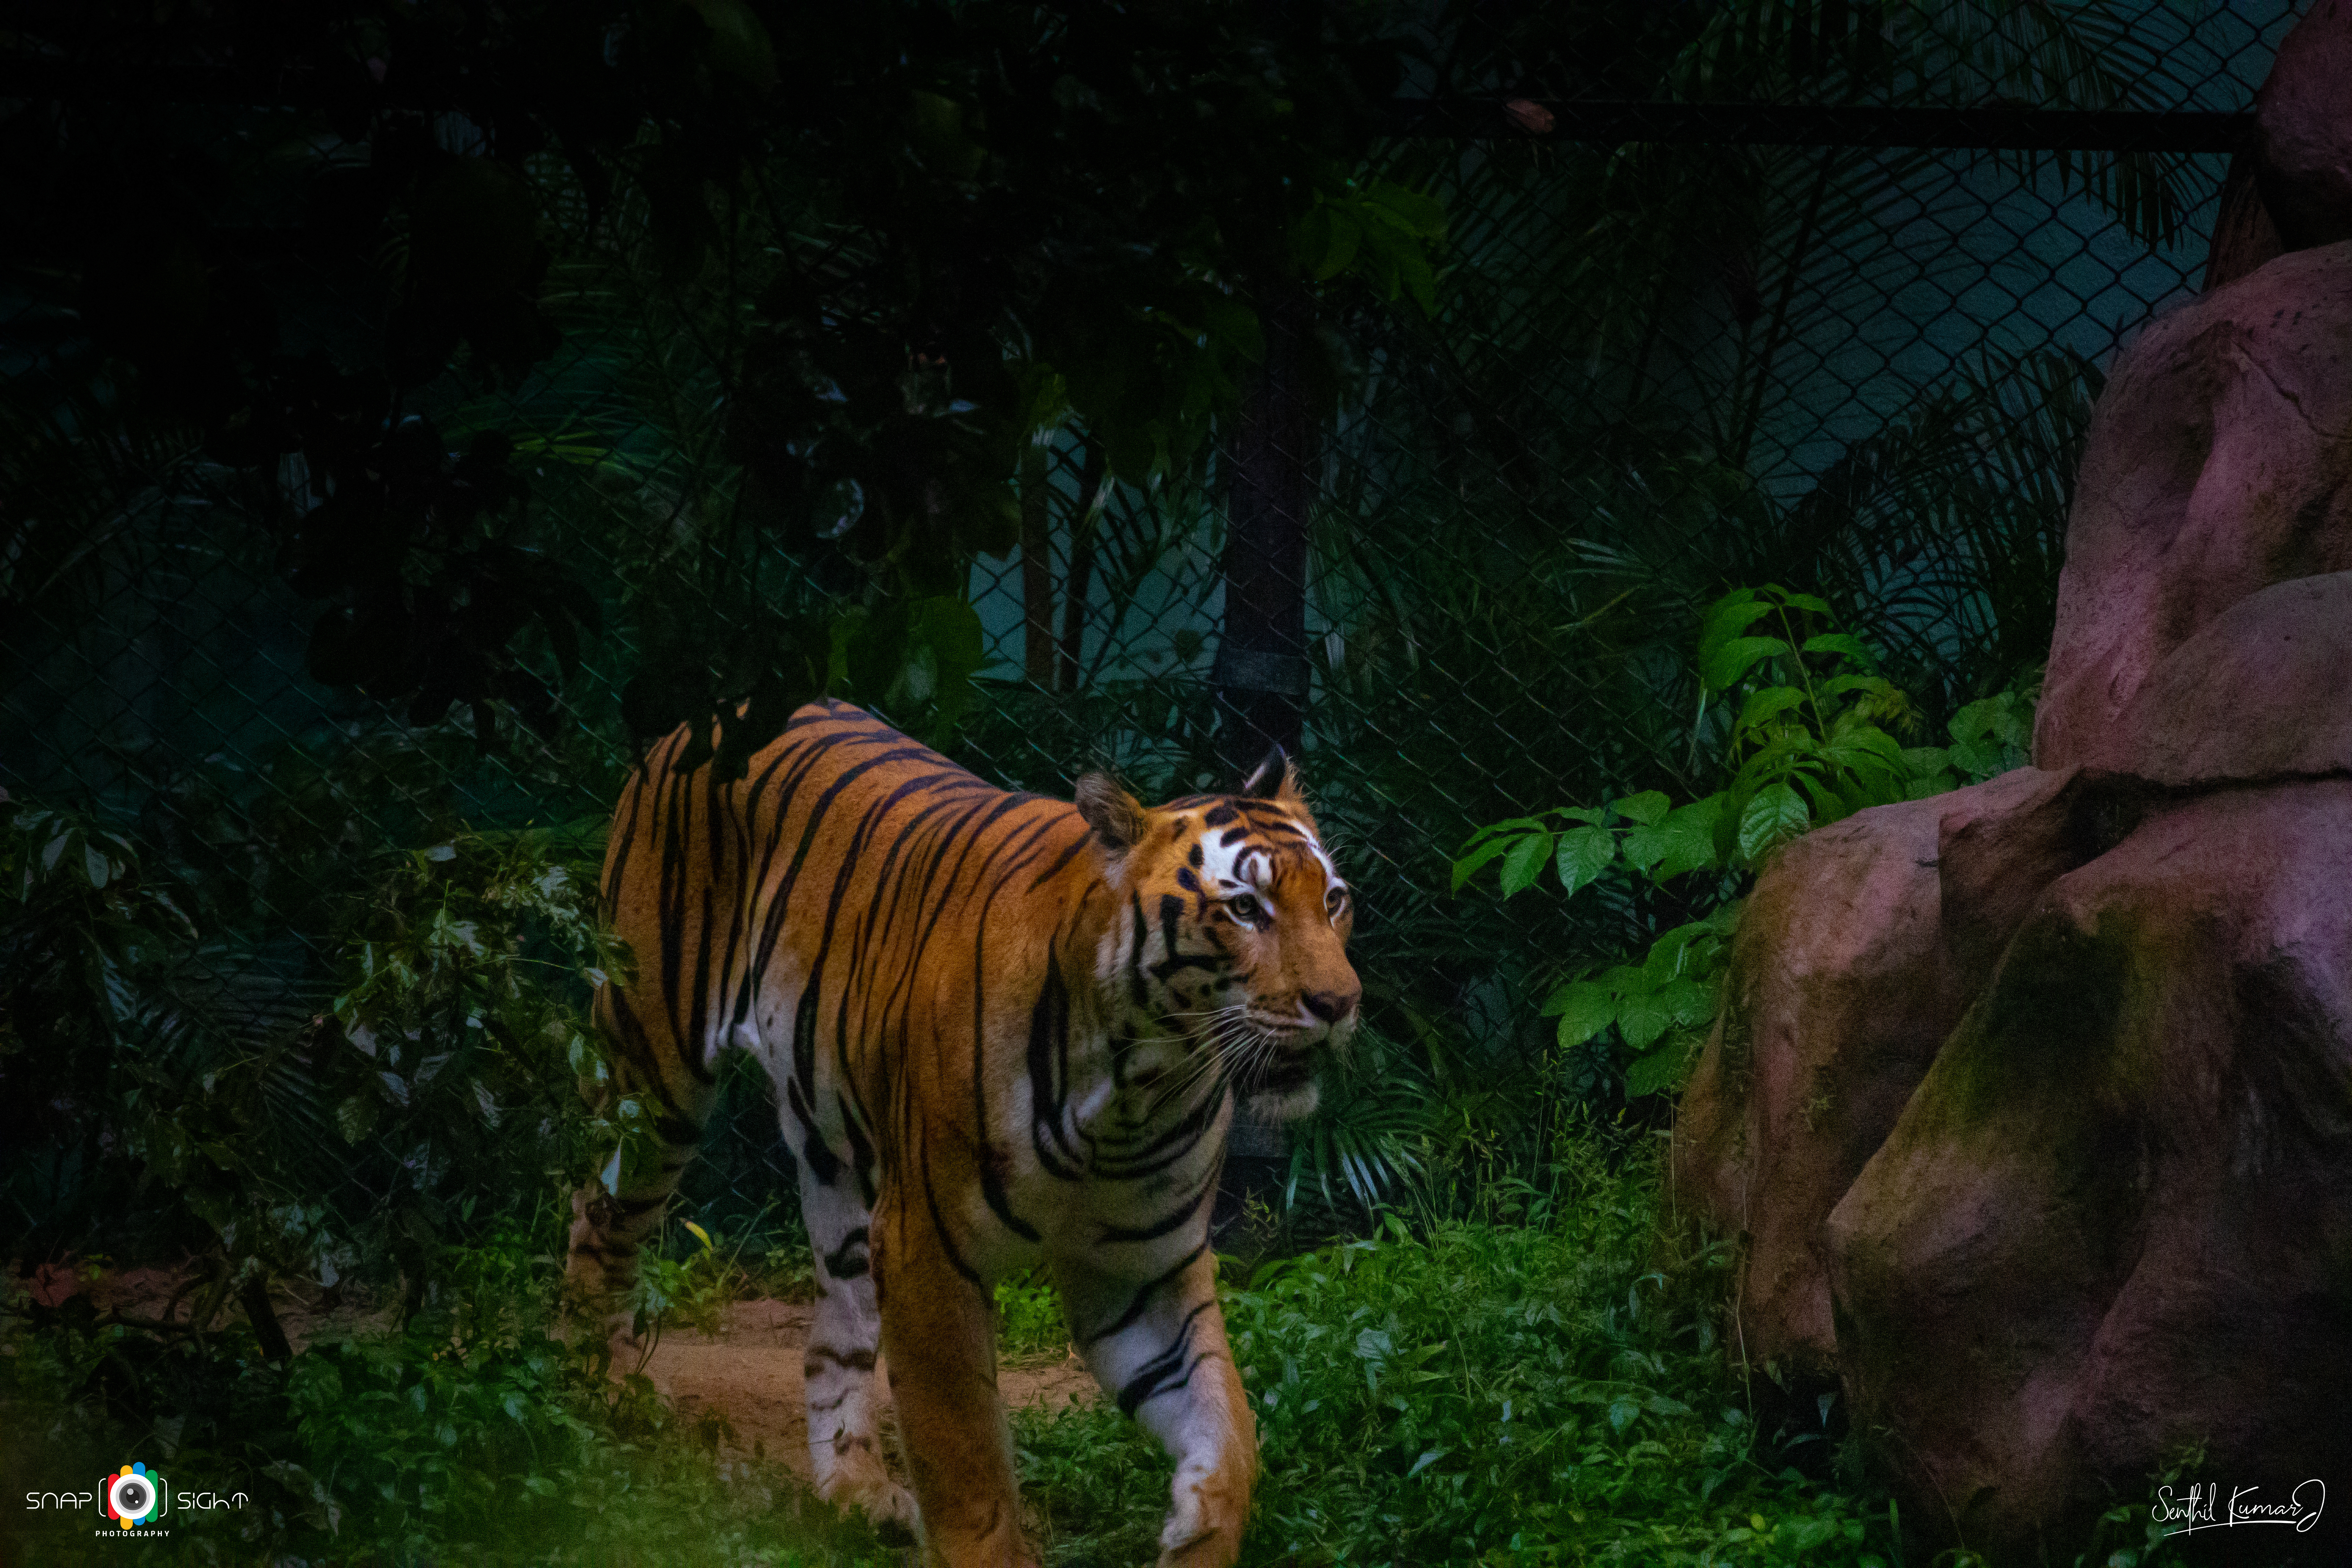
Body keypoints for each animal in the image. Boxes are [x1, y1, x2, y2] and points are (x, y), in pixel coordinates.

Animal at [565, 699, 1361, 1567]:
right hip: (652, 1068)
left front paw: (1197, 1535)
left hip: (840, 1161)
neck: (1138, 1084)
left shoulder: (1142, 1277)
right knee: (596, 1217)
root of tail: (716, 711)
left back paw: (858, 1491)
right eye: (1245, 908)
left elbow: (1230, 1432)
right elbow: (966, 1458)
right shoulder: (928, 1250)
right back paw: (594, 1391)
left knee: (835, 1329)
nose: (1340, 1002)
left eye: (1334, 901)